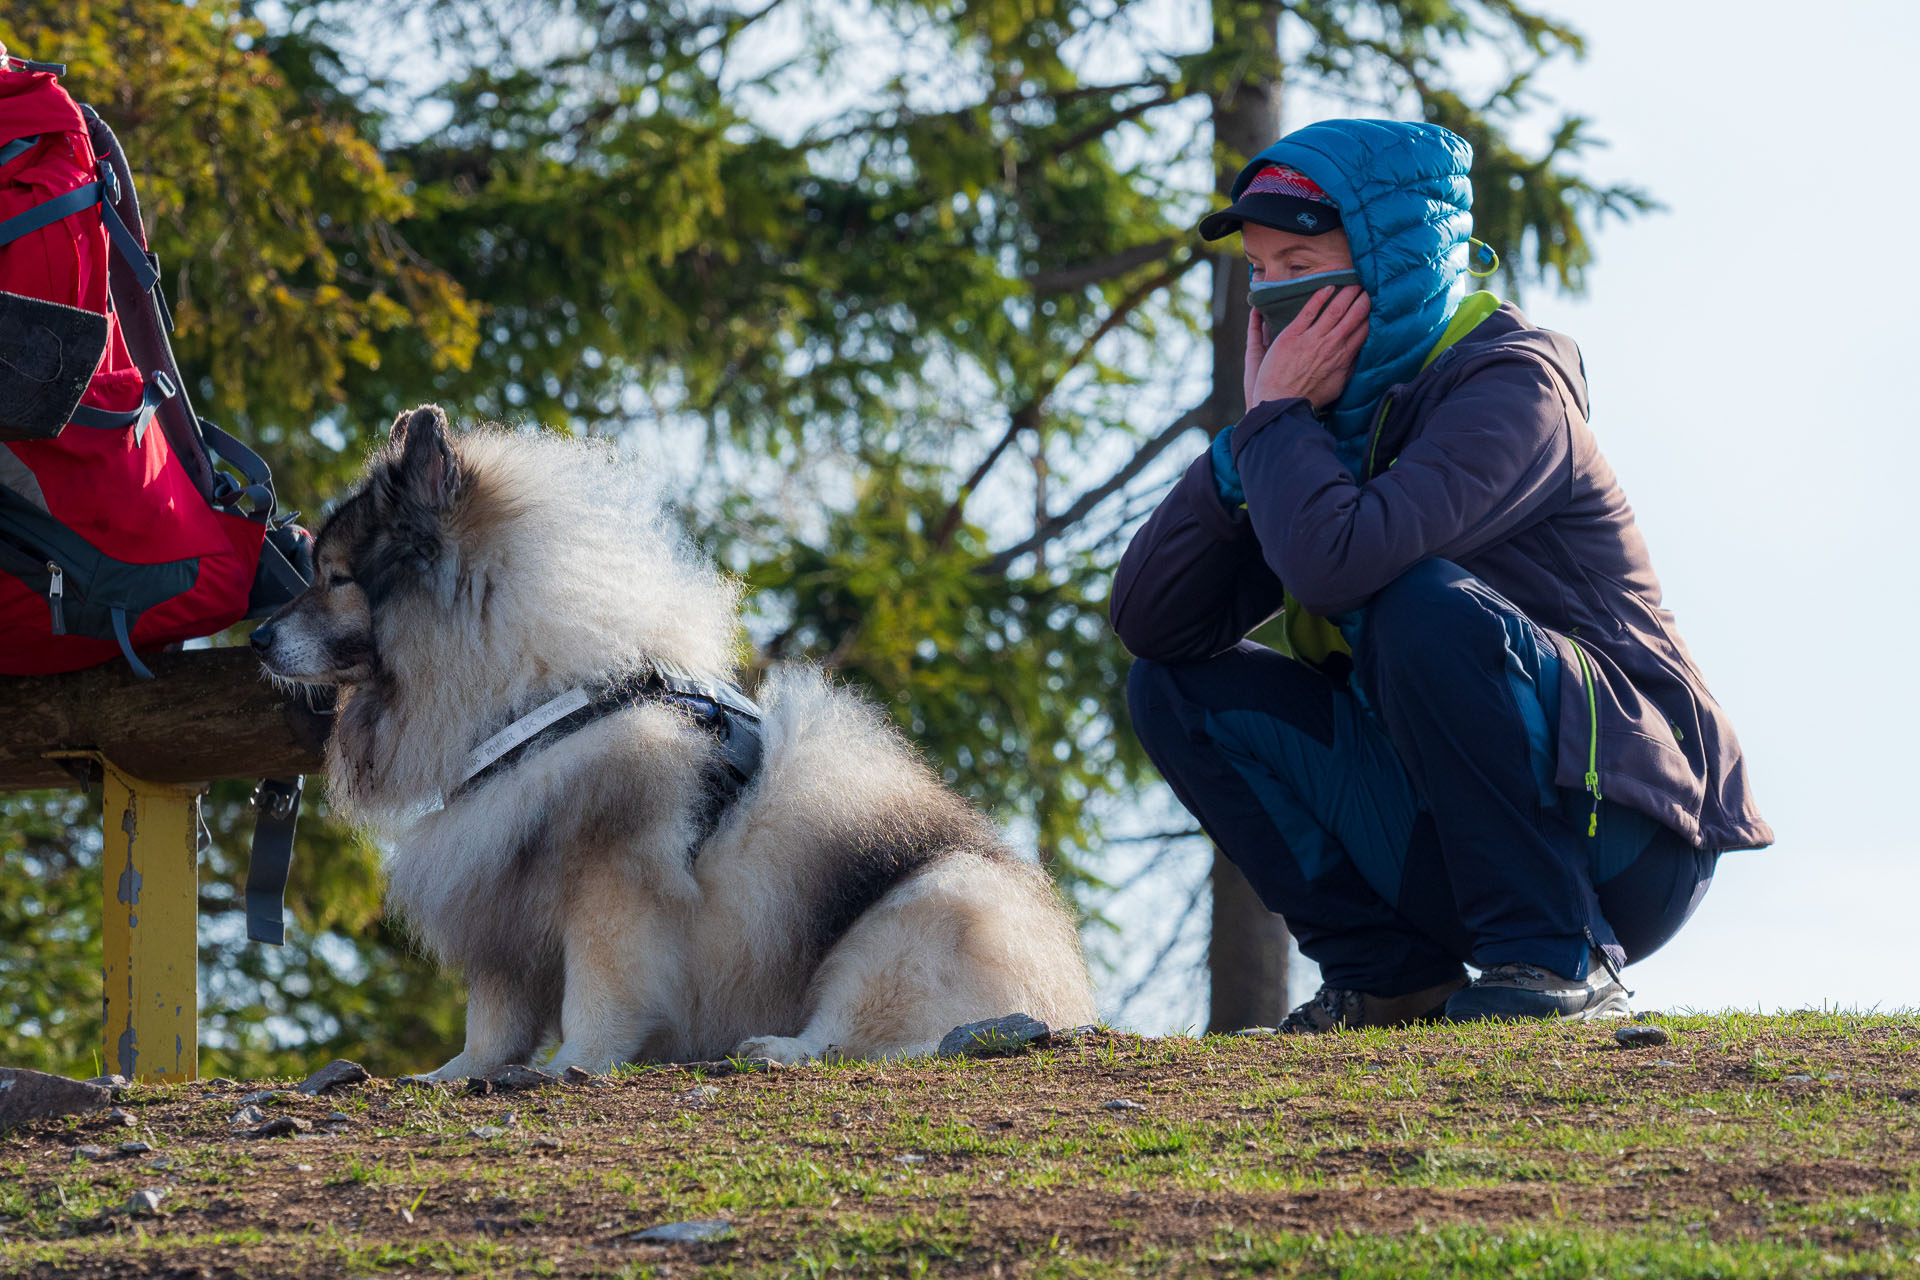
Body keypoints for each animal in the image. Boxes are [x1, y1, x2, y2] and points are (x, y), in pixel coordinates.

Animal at [255, 404, 1098, 1074]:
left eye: (337, 577)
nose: (259, 635)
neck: (529, 691)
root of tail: (1068, 999)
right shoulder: (500, 890)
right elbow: (491, 1022)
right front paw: (455, 1074)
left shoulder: (608, 889)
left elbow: (597, 997)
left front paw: (571, 1066)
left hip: (918, 917)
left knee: (864, 1034)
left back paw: (775, 1048)